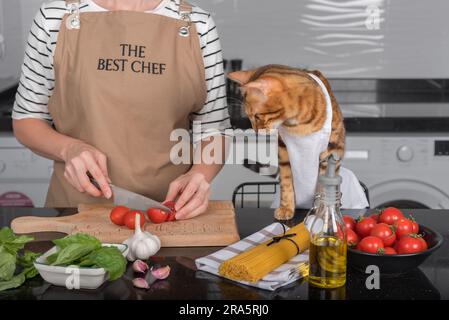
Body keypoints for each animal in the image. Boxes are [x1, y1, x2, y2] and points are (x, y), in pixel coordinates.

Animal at [229, 65, 344, 220]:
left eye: (257, 116)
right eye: (248, 116)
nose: (255, 131)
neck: (298, 122)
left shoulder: (333, 150)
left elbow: (322, 187)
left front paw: (320, 213)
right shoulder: (283, 151)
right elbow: (286, 182)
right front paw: (286, 208)